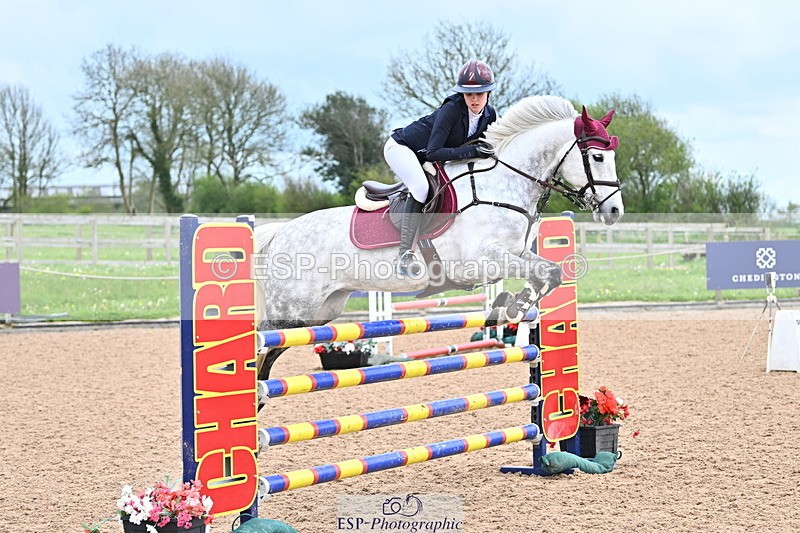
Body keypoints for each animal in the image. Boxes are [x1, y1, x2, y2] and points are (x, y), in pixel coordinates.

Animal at [254, 95, 624, 381]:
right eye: (597, 156)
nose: (615, 211)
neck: (502, 186)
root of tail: (279, 233)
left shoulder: (516, 255)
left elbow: (550, 272)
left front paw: (514, 306)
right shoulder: (482, 261)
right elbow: (544, 272)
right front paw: (515, 306)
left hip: (321, 311)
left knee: (271, 353)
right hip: (291, 310)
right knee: (262, 341)